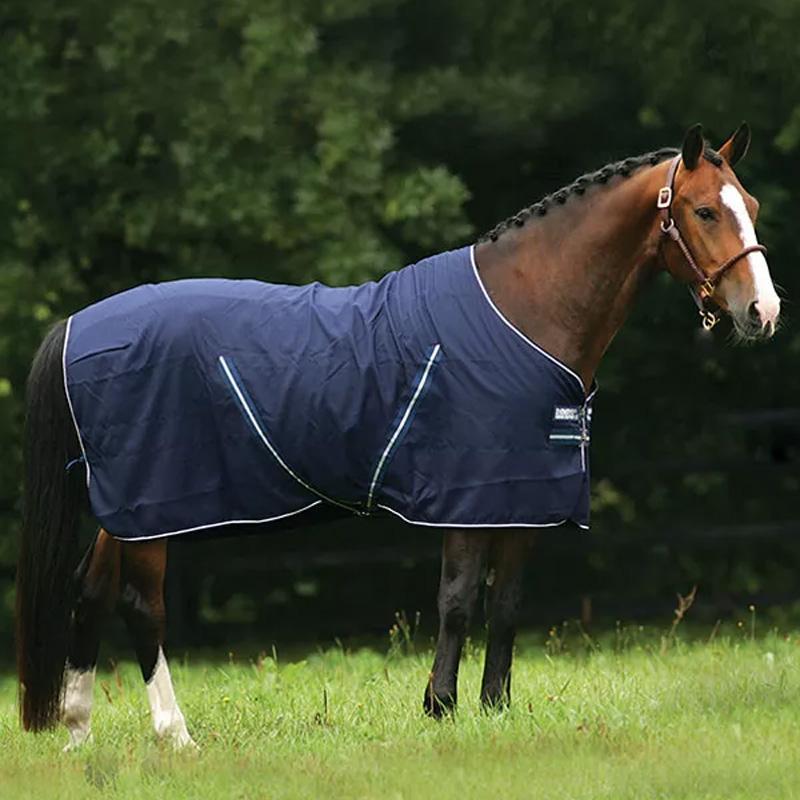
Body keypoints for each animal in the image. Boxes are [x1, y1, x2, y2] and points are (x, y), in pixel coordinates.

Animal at [16, 123, 780, 750]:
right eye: (705, 210)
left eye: (752, 205)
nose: (763, 311)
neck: (525, 311)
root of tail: (79, 323)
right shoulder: (471, 494)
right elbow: (457, 601)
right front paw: (439, 708)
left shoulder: (523, 497)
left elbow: (505, 605)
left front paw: (496, 710)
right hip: (156, 506)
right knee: (141, 605)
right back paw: (176, 736)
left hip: (124, 507)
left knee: (89, 591)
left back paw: (78, 731)